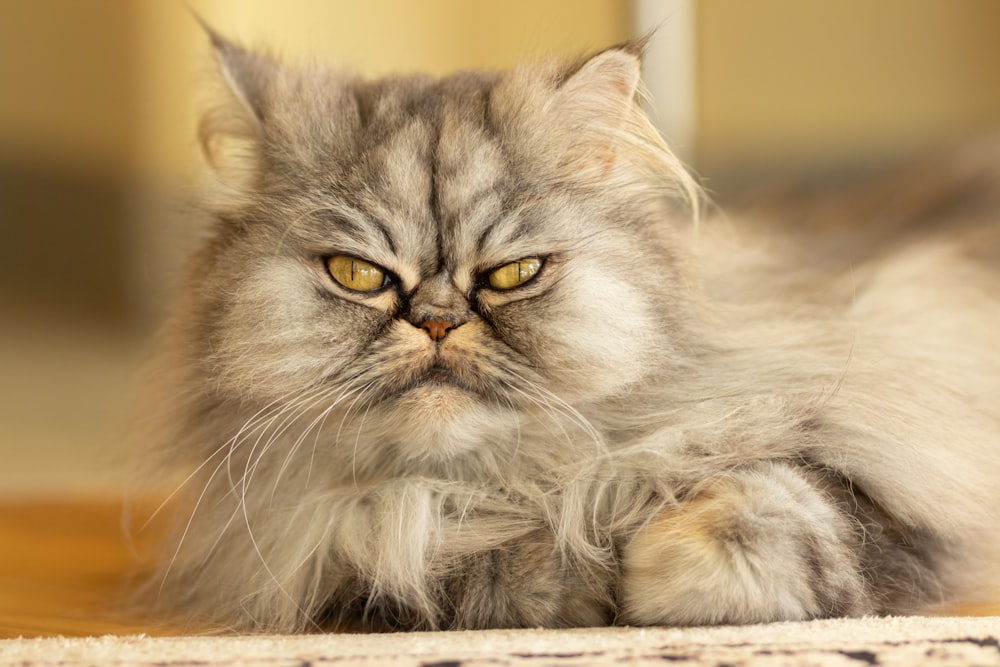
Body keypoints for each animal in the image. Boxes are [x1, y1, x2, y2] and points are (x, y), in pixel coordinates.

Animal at [139, 28, 1000, 636]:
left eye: (514, 274)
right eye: (358, 275)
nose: (439, 322)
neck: (493, 483)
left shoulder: (876, 453)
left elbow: (764, 511)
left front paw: (640, 559)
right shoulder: (347, 541)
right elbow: (439, 564)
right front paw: (569, 573)